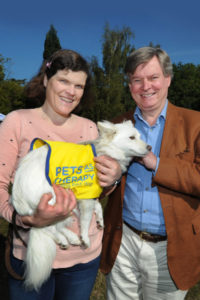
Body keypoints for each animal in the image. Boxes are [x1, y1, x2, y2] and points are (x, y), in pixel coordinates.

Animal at [11, 120, 150, 290]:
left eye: (139, 136)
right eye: (131, 138)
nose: (149, 148)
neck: (103, 149)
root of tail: (18, 198)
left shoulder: (84, 196)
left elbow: (97, 207)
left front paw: (100, 221)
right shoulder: (85, 197)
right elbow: (85, 221)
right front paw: (85, 238)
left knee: (56, 226)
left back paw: (70, 238)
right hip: (52, 204)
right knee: (47, 227)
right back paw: (67, 239)